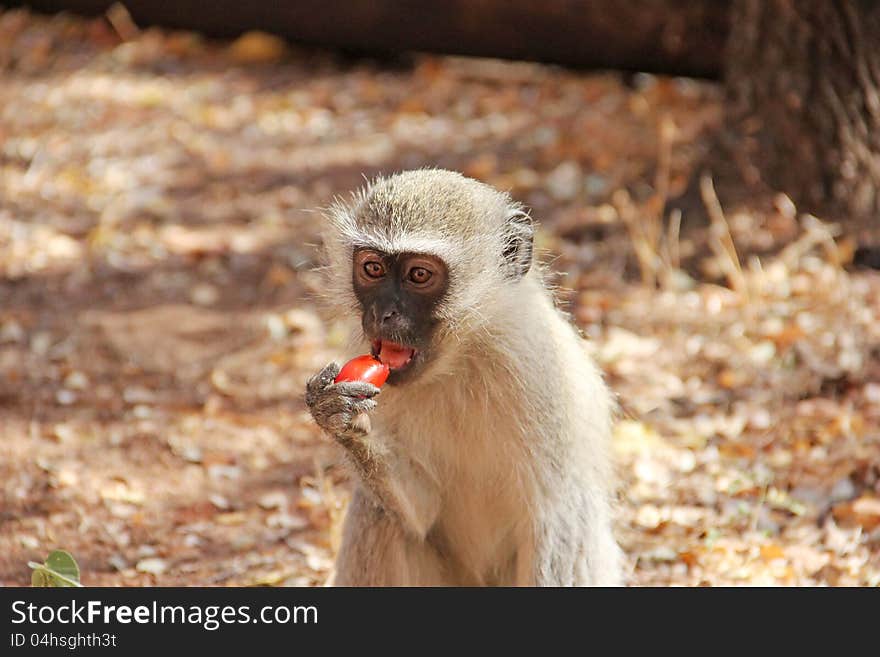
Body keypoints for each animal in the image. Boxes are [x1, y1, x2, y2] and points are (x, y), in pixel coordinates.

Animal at [306, 169, 624, 584]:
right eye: (373, 268)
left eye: (419, 274)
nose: (381, 313)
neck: (462, 356)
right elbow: (421, 512)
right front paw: (342, 420)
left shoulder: (542, 374)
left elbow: (556, 515)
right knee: (379, 515)